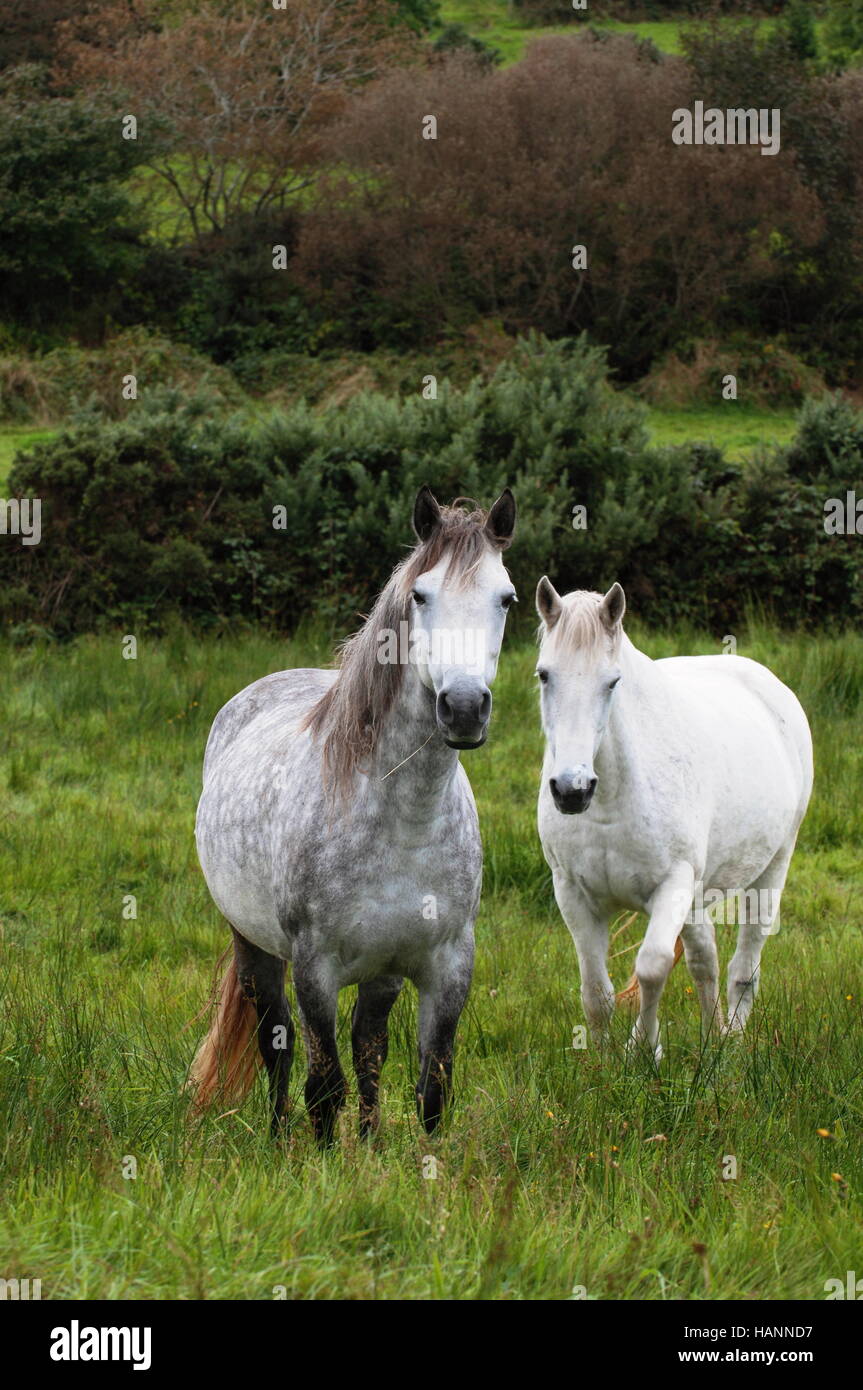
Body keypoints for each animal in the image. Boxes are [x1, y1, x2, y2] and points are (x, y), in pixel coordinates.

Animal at [189, 486, 517, 1143]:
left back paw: (363, 1139)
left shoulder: (448, 965)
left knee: (369, 1046)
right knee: (276, 1043)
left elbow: (429, 1088)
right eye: (420, 595)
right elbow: (323, 1087)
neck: (404, 820)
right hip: (253, 944)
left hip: (380, 970)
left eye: (507, 597)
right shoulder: (315, 967)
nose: (464, 708)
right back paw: (275, 1136)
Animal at [534, 578, 813, 1061]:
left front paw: (644, 1050)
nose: (572, 789)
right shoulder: (573, 894)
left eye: (613, 682)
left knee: (743, 964)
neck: (610, 803)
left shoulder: (672, 887)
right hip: (697, 897)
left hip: (773, 867)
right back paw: (712, 1037)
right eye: (544, 675)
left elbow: (652, 967)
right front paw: (600, 1064)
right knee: (705, 959)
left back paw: (731, 1041)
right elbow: (596, 991)